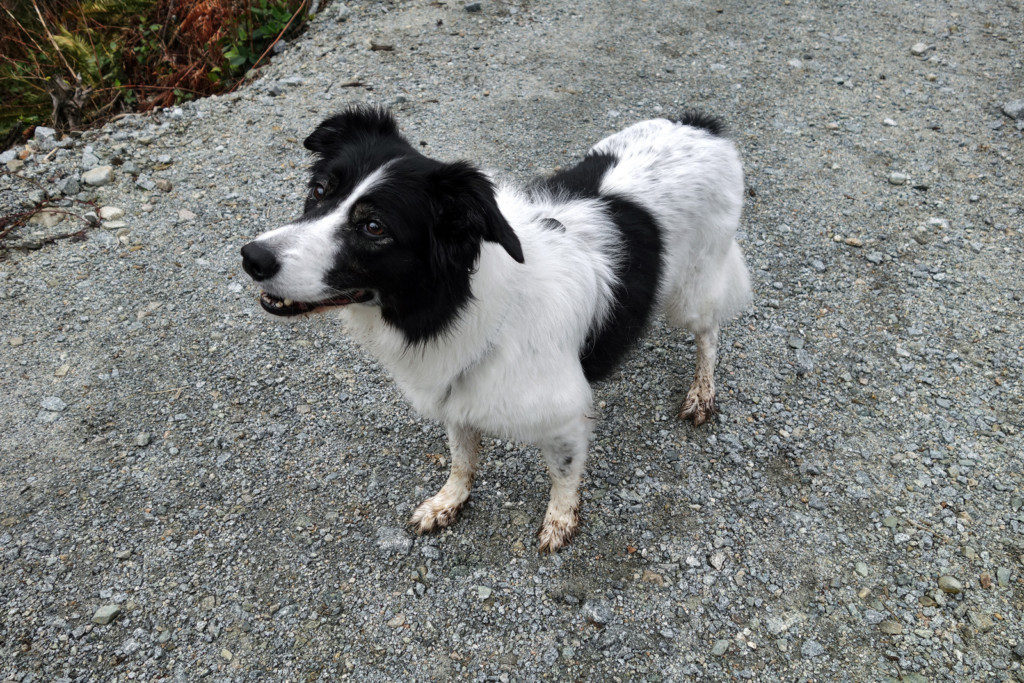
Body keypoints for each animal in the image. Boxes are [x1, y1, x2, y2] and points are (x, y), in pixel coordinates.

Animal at [240, 108, 753, 557]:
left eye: (373, 226)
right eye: (319, 189)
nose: (252, 258)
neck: (455, 305)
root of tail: (700, 126)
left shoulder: (563, 412)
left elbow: (562, 473)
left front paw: (560, 520)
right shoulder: (457, 389)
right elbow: (462, 458)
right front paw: (448, 502)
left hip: (691, 291)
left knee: (709, 334)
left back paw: (702, 392)